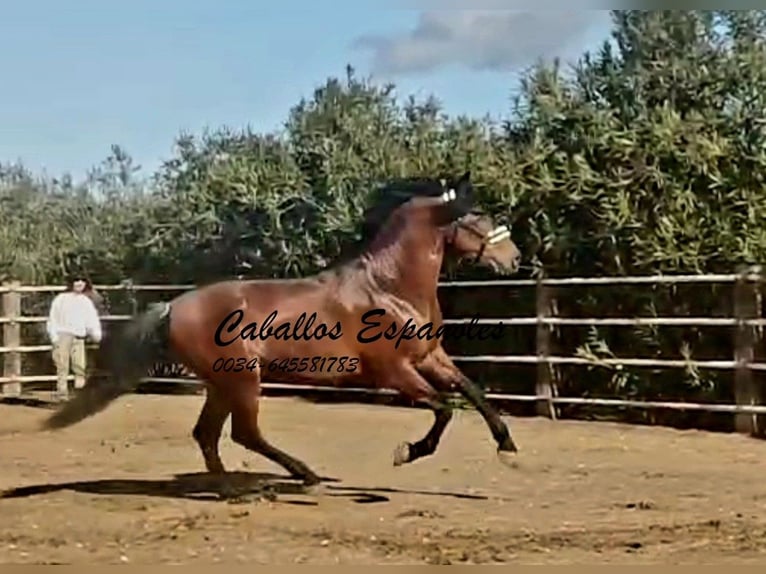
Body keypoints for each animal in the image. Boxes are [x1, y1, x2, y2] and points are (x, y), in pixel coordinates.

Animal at [42, 171, 523, 491]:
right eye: (477, 216)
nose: (514, 257)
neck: (389, 287)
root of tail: (174, 306)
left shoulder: (429, 356)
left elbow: (473, 392)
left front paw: (509, 449)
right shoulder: (393, 371)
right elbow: (443, 409)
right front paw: (406, 452)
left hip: (223, 382)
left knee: (208, 434)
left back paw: (231, 488)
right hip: (241, 379)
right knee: (243, 434)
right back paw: (298, 477)